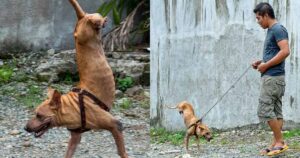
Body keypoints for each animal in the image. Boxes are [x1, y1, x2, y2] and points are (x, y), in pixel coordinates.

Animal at [23, 0, 126, 158]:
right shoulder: (75, 137)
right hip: (83, 32)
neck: (71, 107)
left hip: (86, 29)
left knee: (95, 18)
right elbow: (68, 153)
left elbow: (121, 151)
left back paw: (101, 21)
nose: (25, 128)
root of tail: (82, 17)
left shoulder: (115, 125)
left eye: (39, 116)